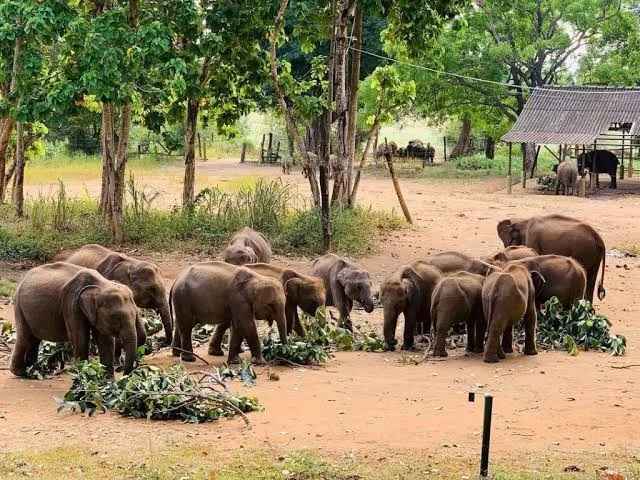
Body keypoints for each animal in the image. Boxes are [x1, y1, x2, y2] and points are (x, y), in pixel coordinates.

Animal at [10, 262, 144, 377]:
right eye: (115, 317)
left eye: (136, 314)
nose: (124, 374)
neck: (100, 285)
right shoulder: (71, 303)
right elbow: (80, 338)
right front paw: (83, 376)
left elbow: (105, 340)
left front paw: (107, 381)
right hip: (19, 306)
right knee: (24, 337)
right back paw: (21, 373)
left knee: (34, 339)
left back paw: (34, 370)